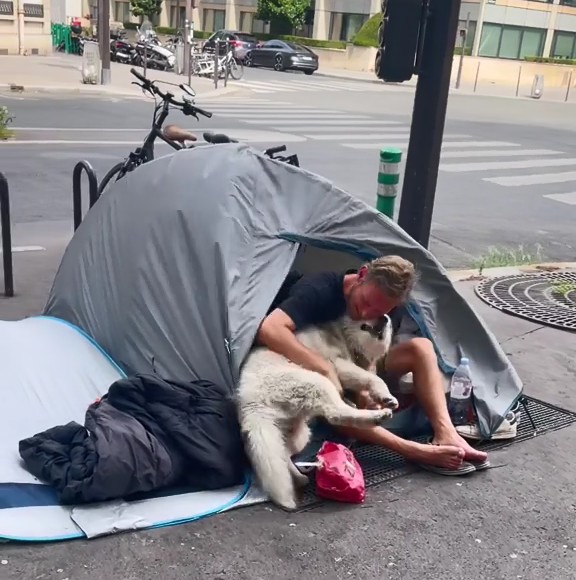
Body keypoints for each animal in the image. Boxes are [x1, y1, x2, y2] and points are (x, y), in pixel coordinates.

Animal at [236, 314, 398, 510]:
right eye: (366, 320)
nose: (385, 317)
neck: (345, 336)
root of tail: (250, 403)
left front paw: (383, 398)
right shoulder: (338, 364)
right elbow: (373, 379)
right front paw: (385, 397)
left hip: (298, 431)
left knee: (283, 453)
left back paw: (298, 478)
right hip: (316, 382)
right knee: (335, 413)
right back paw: (375, 417)